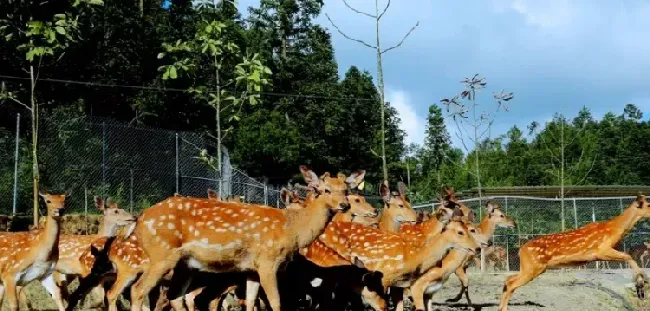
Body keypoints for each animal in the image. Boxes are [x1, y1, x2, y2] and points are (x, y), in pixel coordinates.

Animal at [128, 166, 354, 311]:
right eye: (325, 190)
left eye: (346, 190)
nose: (344, 205)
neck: (293, 230)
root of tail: (140, 219)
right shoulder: (268, 261)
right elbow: (275, 302)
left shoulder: (251, 268)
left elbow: (252, 301)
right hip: (162, 253)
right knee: (138, 290)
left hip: (186, 265)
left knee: (175, 297)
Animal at [496, 194, 648, 310]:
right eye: (649, 205)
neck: (613, 230)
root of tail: (521, 250)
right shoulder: (600, 250)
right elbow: (628, 256)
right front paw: (640, 283)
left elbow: (627, 256)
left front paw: (640, 285)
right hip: (533, 267)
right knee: (511, 283)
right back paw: (504, 308)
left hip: (529, 267)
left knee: (508, 280)